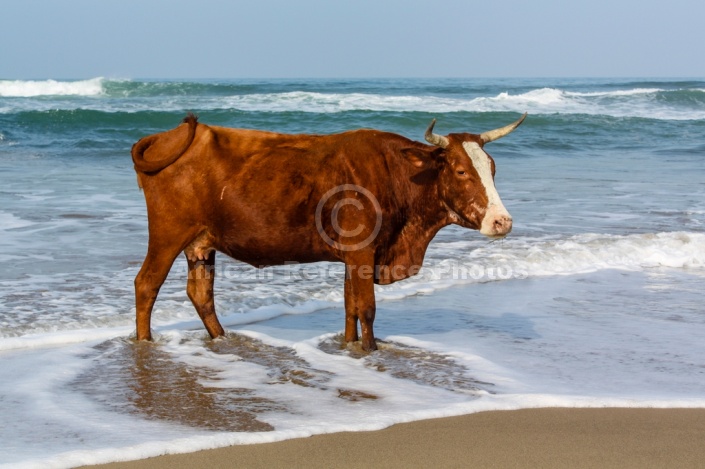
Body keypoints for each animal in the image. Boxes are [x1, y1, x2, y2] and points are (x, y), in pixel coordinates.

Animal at [132, 111, 524, 350]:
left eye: (492, 167)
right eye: (460, 170)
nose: (502, 221)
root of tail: (174, 134)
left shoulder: (355, 257)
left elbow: (350, 306)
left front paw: (350, 347)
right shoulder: (363, 252)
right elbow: (367, 308)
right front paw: (370, 350)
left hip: (201, 243)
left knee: (200, 293)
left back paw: (221, 339)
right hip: (168, 233)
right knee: (147, 284)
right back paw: (144, 342)